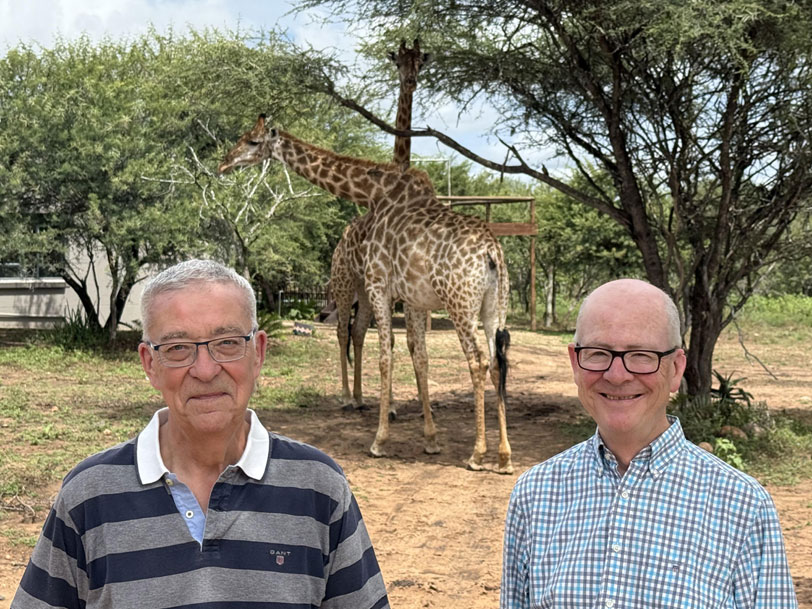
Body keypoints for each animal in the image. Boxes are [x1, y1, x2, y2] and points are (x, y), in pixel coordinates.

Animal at [218, 115, 513, 473]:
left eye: (252, 141)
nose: (224, 162)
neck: (375, 193)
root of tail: (492, 253)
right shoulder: (414, 299)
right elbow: (420, 357)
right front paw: (431, 439)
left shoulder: (378, 284)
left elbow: (385, 355)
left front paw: (379, 441)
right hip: (493, 307)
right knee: (497, 361)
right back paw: (504, 456)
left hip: (457, 304)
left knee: (477, 359)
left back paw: (477, 453)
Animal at [331, 39, 431, 411]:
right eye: (397, 61)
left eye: (420, 61)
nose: (410, 81)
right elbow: (389, 342)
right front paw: (388, 405)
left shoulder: (403, 292)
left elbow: (409, 343)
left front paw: (405, 404)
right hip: (344, 284)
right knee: (342, 330)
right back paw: (347, 397)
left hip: (363, 289)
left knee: (358, 331)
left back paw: (362, 398)